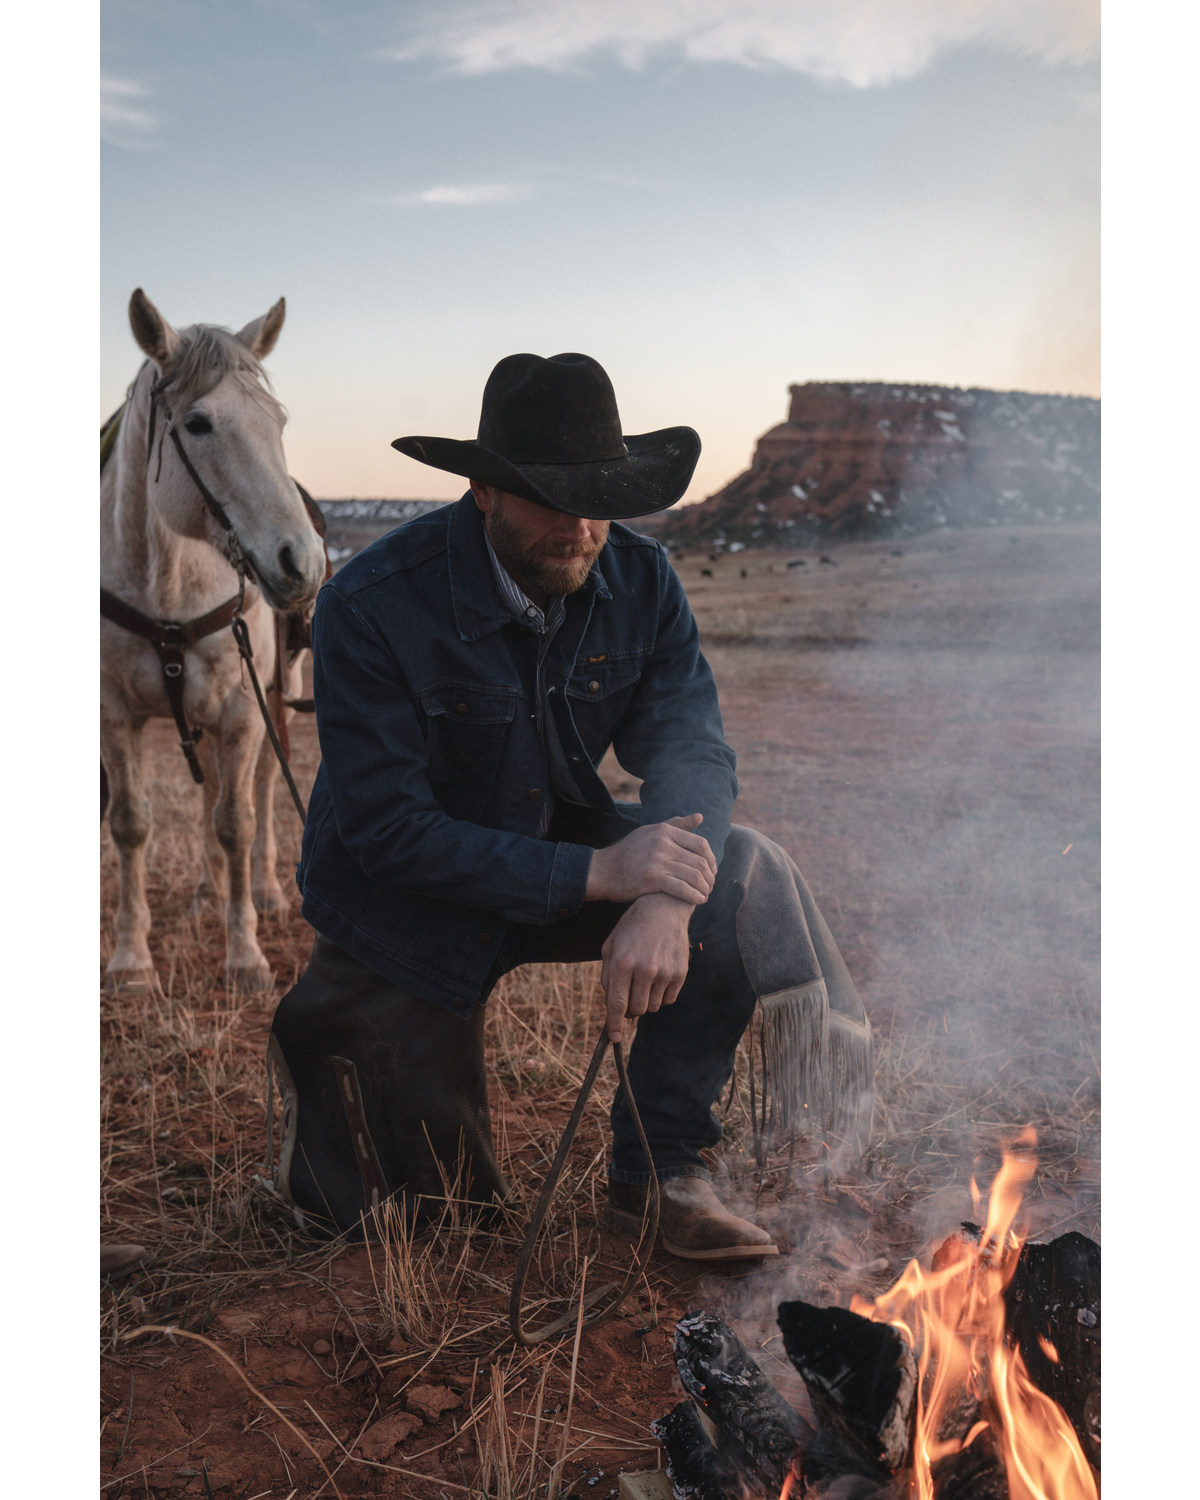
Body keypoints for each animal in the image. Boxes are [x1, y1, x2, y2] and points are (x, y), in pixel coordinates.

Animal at [100, 286, 325, 990]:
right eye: (198, 424)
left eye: (278, 422)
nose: (303, 563)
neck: (167, 579)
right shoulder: (115, 714)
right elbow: (131, 823)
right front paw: (131, 957)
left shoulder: (243, 710)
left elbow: (238, 822)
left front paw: (245, 953)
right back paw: (206, 891)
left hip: (275, 697)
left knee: (256, 788)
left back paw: (267, 892)